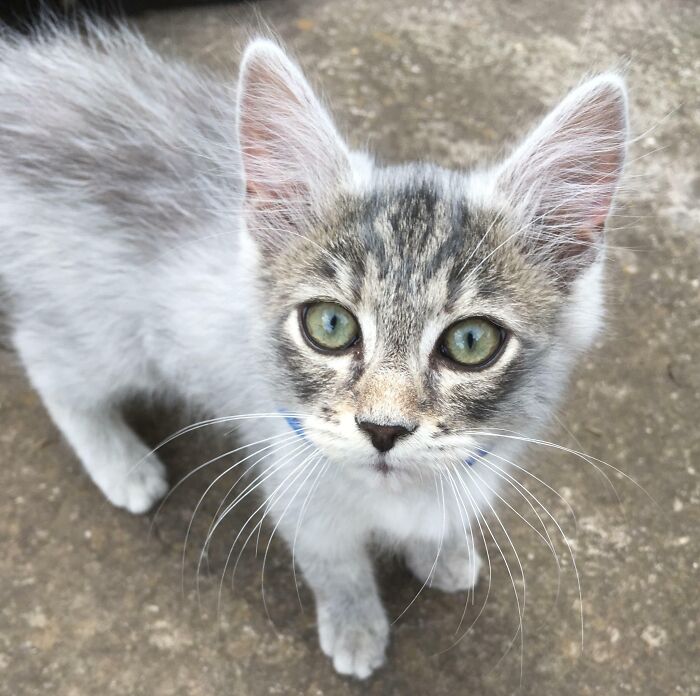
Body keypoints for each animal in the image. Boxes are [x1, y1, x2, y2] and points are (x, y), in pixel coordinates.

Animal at [0, 23, 628, 680]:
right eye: (329, 325)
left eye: (471, 341)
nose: (383, 429)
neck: (393, 496)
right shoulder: (297, 490)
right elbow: (336, 568)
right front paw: (355, 625)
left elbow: (439, 519)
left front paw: (443, 550)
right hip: (108, 337)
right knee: (46, 360)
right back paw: (119, 462)